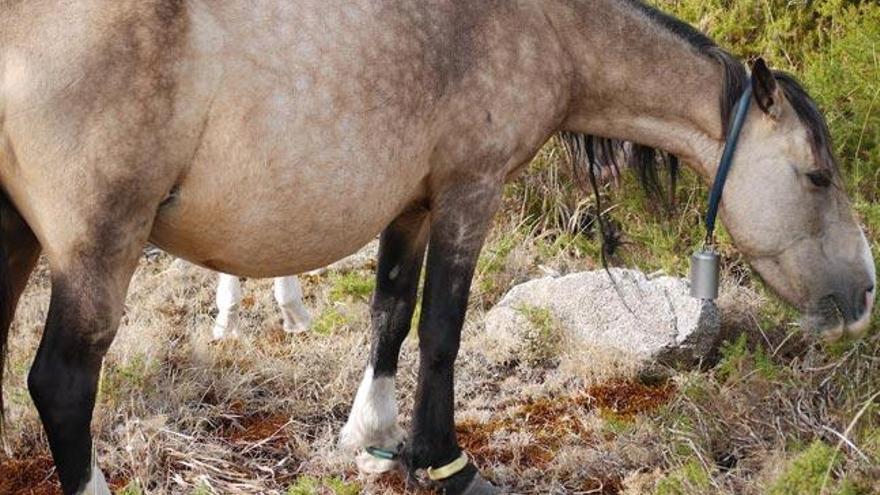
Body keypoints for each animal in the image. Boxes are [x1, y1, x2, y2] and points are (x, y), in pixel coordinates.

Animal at [0, 0, 872, 495]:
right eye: (818, 175)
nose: (864, 296)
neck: (540, 26)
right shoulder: (469, 191)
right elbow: (443, 330)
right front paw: (447, 463)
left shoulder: (414, 202)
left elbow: (389, 313)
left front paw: (373, 441)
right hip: (97, 245)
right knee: (63, 384)